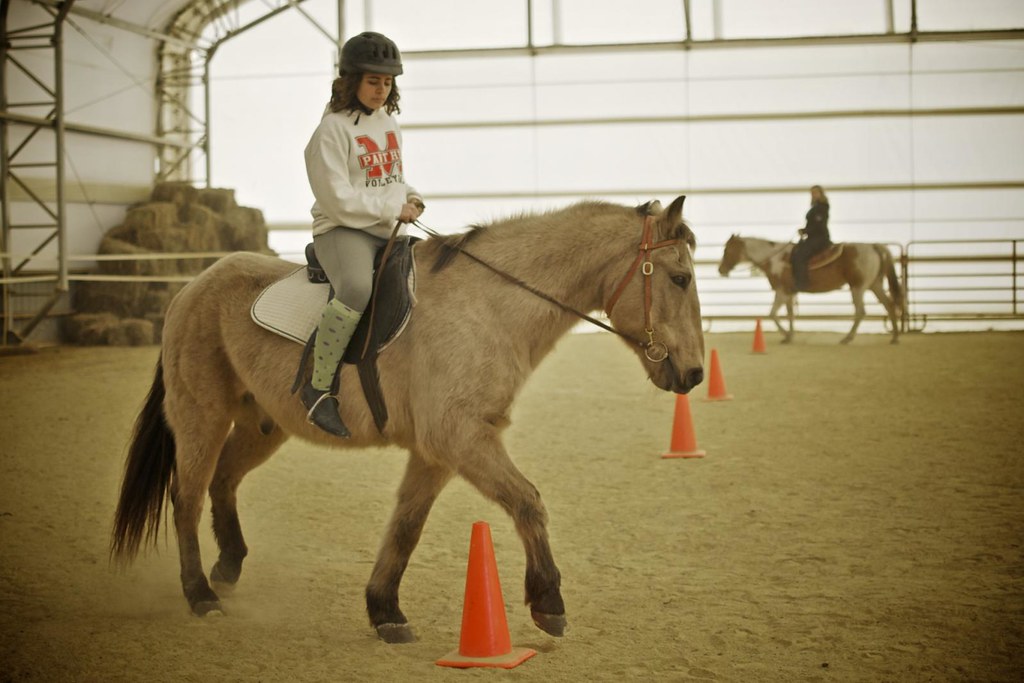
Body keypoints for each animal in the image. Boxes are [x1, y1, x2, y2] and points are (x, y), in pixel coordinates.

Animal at [109, 196, 705, 643]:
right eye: (679, 278)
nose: (695, 373)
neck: (490, 305)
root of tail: (193, 287)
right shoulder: (461, 438)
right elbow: (528, 501)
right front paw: (549, 603)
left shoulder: (439, 452)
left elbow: (406, 528)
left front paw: (384, 611)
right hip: (201, 416)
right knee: (186, 496)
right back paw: (200, 595)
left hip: (263, 425)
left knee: (224, 481)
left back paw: (228, 567)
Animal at [717, 235, 903, 344]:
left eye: (727, 249)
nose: (721, 270)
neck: (774, 259)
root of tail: (873, 246)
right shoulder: (789, 293)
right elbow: (790, 314)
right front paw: (790, 336)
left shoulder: (782, 291)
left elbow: (772, 314)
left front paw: (786, 335)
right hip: (874, 285)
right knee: (889, 305)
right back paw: (894, 337)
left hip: (858, 287)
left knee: (861, 311)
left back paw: (847, 338)